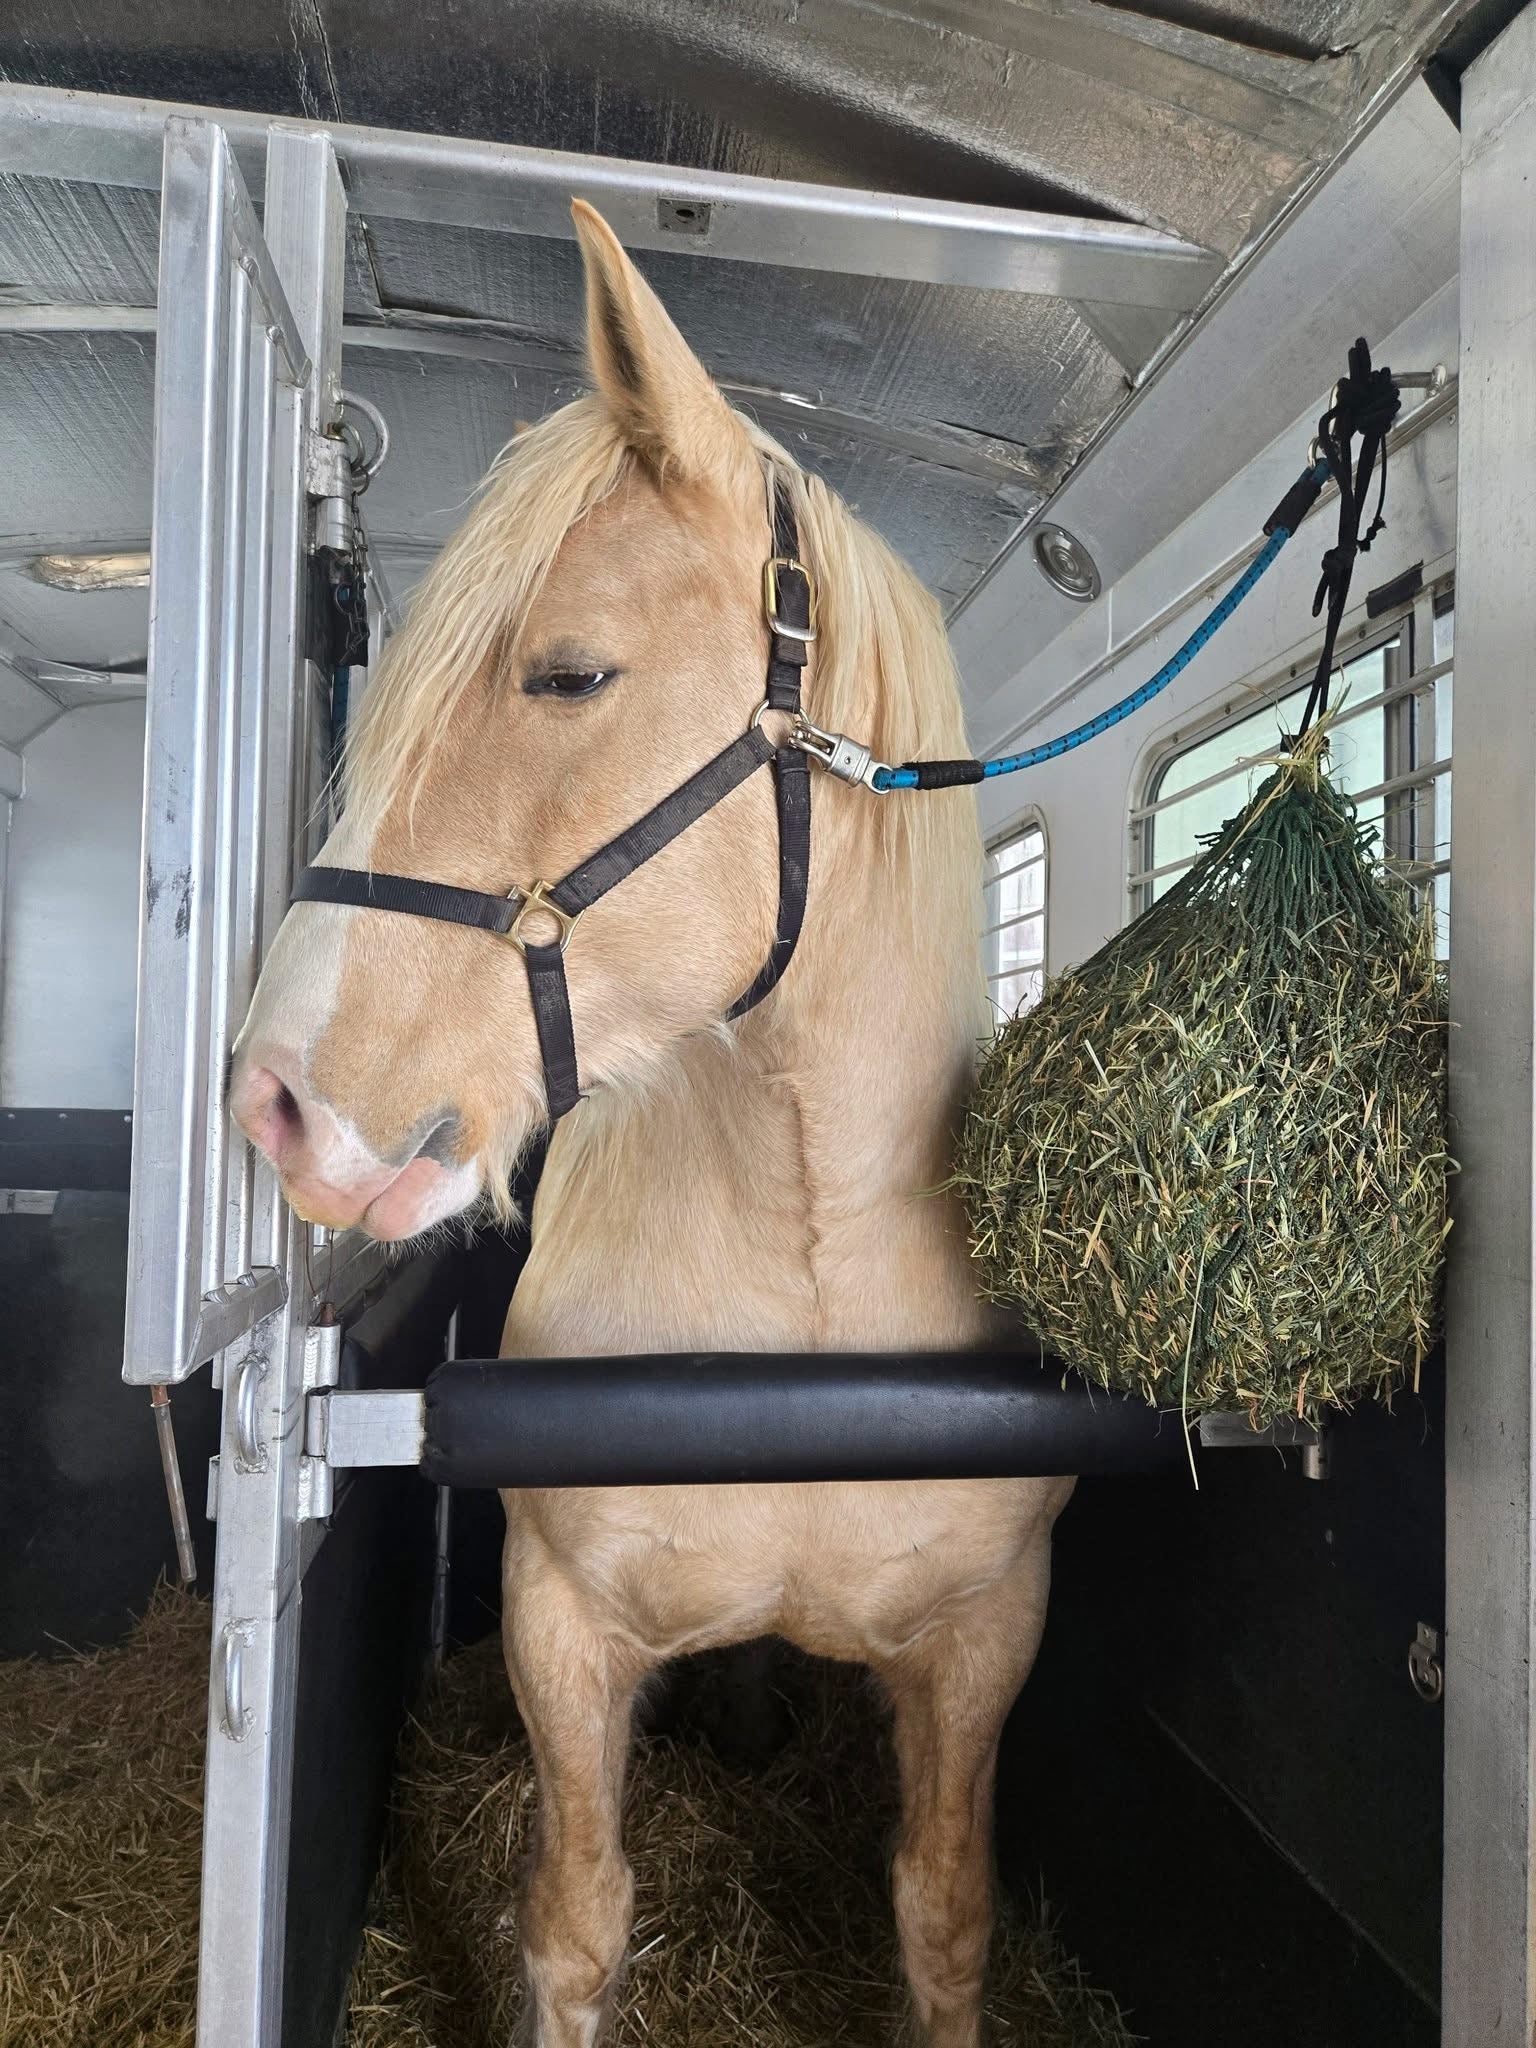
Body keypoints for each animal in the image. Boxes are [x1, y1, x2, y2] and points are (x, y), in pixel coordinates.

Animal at [230, 199, 1073, 2048]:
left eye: (570, 674)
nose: (277, 1101)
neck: (808, 1272)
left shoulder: (985, 1643)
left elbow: (945, 1918)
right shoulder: (560, 1629)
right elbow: (574, 1921)